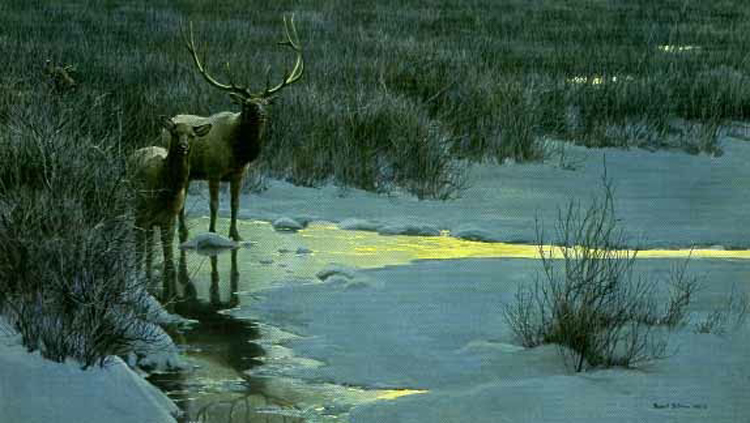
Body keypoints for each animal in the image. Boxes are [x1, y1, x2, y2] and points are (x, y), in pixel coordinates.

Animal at [131, 117, 212, 288]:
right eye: (175, 133)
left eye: (192, 135)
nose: (183, 147)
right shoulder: (142, 214)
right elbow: (138, 249)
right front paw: (137, 279)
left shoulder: (170, 218)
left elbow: (169, 256)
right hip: (137, 207)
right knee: (143, 242)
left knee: (150, 240)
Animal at [168, 15, 304, 242]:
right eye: (247, 104)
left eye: (265, 103)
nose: (262, 115)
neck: (238, 152)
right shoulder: (213, 171)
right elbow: (214, 205)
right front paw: (212, 233)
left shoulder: (238, 175)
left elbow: (235, 205)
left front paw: (236, 235)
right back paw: (182, 232)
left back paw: (183, 231)